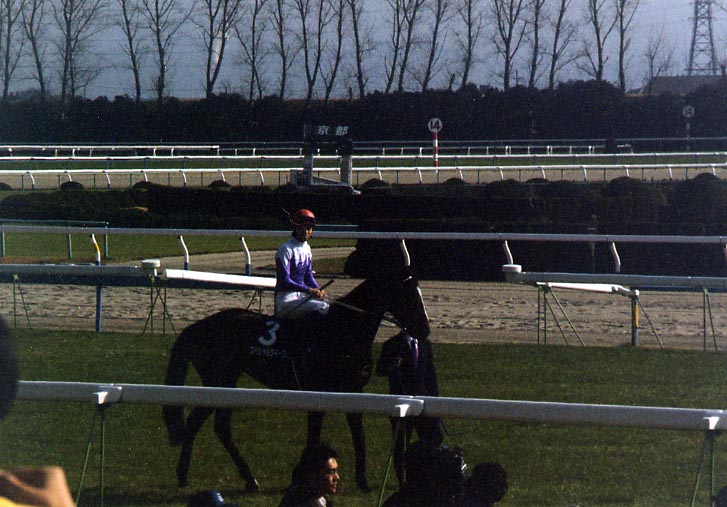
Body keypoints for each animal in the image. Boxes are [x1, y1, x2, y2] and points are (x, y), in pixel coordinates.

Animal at [161, 260, 431, 493]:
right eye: (409, 295)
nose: (425, 330)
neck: (342, 331)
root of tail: (196, 326)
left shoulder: (353, 391)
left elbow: (358, 435)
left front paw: (362, 482)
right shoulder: (319, 392)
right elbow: (315, 437)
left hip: (228, 381)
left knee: (219, 427)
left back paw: (243, 479)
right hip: (217, 382)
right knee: (199, 422)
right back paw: (190, 476)